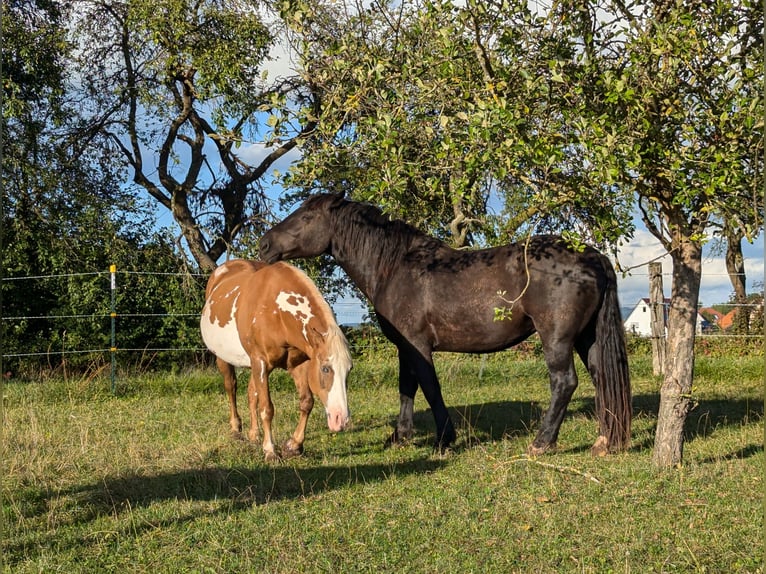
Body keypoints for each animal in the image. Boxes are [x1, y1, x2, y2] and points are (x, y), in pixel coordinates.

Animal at [200, 260, 352, 464]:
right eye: (326, 369)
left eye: (349, 370)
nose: (340, 419)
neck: (276, 312)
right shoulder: (261, 361)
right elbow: (267, 408)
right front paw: (270, 450)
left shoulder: (298, 363)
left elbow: (306, 403)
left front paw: (294, 446)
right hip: (225, 358)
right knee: (231, 387)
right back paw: (236, 429)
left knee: (252, 394)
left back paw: (254, 434)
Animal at [260, 196, 632, 456]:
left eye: (307, 217)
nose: (265, 244)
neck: (395, 266)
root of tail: (592, 256)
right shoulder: (405, 347)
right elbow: (407, 388)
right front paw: (400, 436)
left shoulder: (418, 345)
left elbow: (430, 388)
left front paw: (443, 439)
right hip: (587, 337)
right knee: (601, 376)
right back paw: (604, 441)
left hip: (556, 338)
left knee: (564, 382)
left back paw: (542, 443)